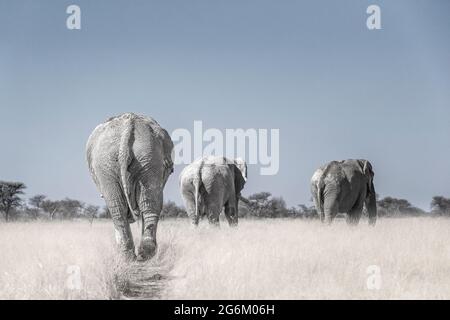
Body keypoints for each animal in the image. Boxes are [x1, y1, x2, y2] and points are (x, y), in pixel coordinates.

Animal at [86, 112, 174, 260]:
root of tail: (129, 125)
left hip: (139, 157)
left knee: (127, 208)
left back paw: (134, 256)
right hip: (126, 159)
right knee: (143, 205)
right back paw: (139, 255)